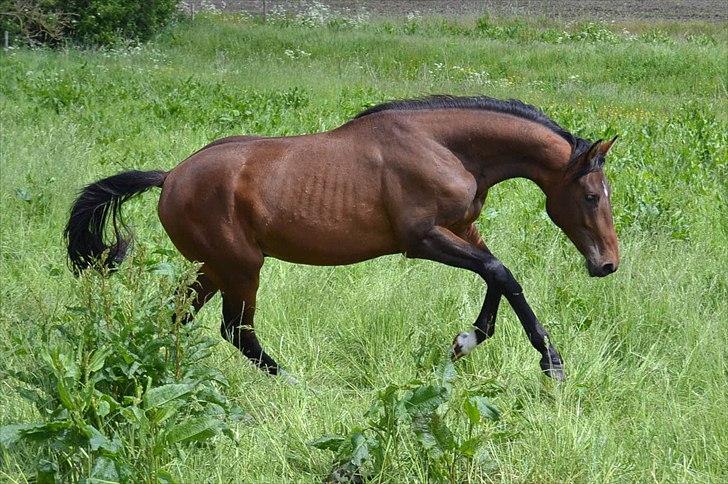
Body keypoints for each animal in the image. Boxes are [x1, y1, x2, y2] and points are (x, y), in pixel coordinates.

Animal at [64, 95, 620, 382]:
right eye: (593, 195)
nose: (608, 264)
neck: (443, 146)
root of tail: (170, 177)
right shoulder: (423, 239)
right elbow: (501, 272)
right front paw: (551, 363)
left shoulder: (463, 229)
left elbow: (498, 277)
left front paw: (466, 342)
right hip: (240, 267)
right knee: (236, 331)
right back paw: (294, 382)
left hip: (211, 268)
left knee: (177, 318)